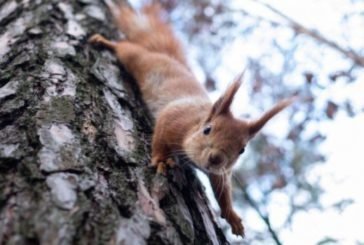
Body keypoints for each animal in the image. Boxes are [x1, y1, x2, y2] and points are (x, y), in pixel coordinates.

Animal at [89, 3, 294, 237]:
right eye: (207, 129)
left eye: (242, 150)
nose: (216, 158)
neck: (194, 125)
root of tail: (171, 60)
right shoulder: (173, 119)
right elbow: (160, 139)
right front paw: (162, 159)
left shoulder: (221, 172)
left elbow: (221, 189)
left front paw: (231, 215)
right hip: (141, 61)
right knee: (126, 49)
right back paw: (104, 42)